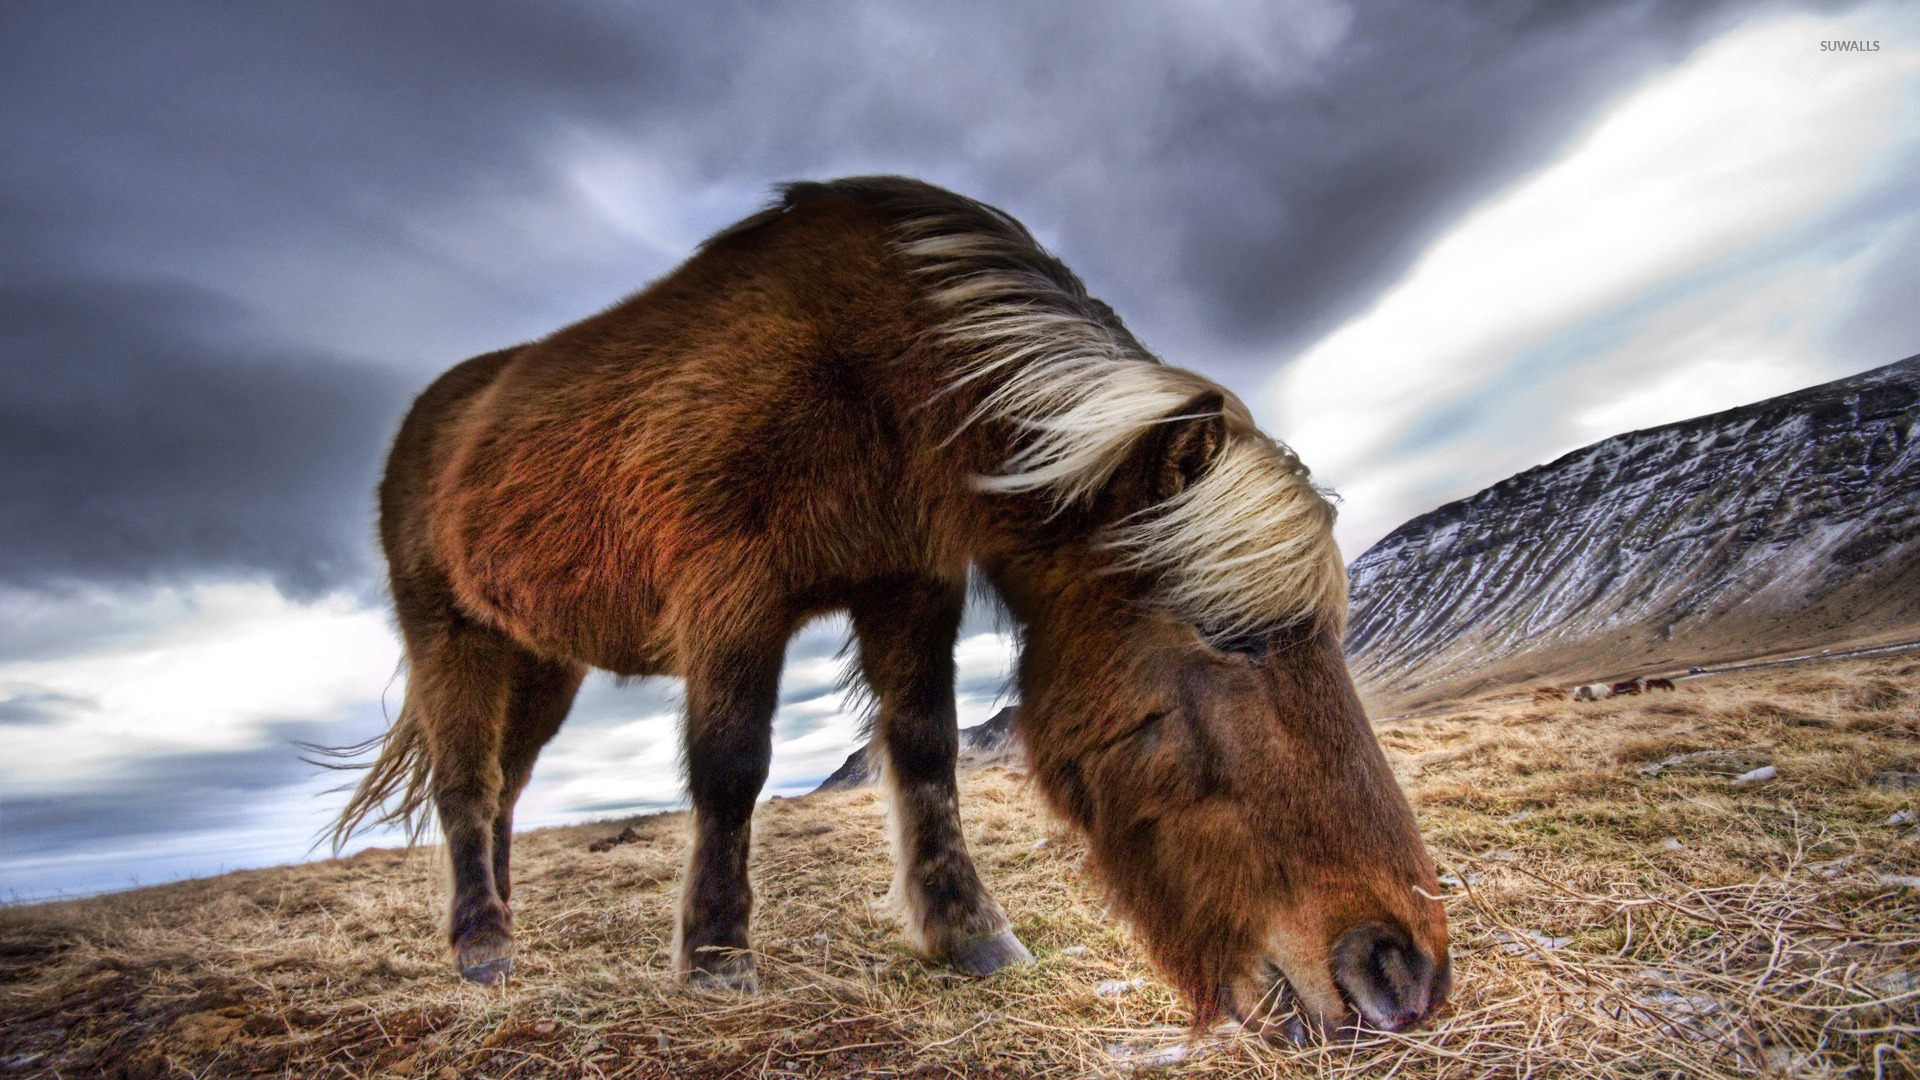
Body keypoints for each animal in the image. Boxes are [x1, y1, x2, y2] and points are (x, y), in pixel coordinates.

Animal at [329, 177, 1449, 1038]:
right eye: (1226, 641)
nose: (1403, 970)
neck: (874, 370)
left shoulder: (909, 586)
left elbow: (924, 751)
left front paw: (970, 934)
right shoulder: (732, 597)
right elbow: (732, 767)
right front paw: (718, 956)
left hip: (542, 661)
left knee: (504, 789)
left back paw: (501, 926)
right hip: (453, 640)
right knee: (468, 785)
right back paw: (481, 948)